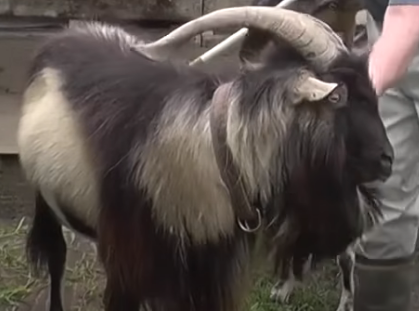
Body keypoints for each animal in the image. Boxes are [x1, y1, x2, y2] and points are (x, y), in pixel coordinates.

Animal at [17, 6, 398, 311]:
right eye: (338, 97)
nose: (387, 159)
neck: (214, 155)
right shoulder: (128, 268)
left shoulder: (207, 273)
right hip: (46, 200)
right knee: (56, 257)